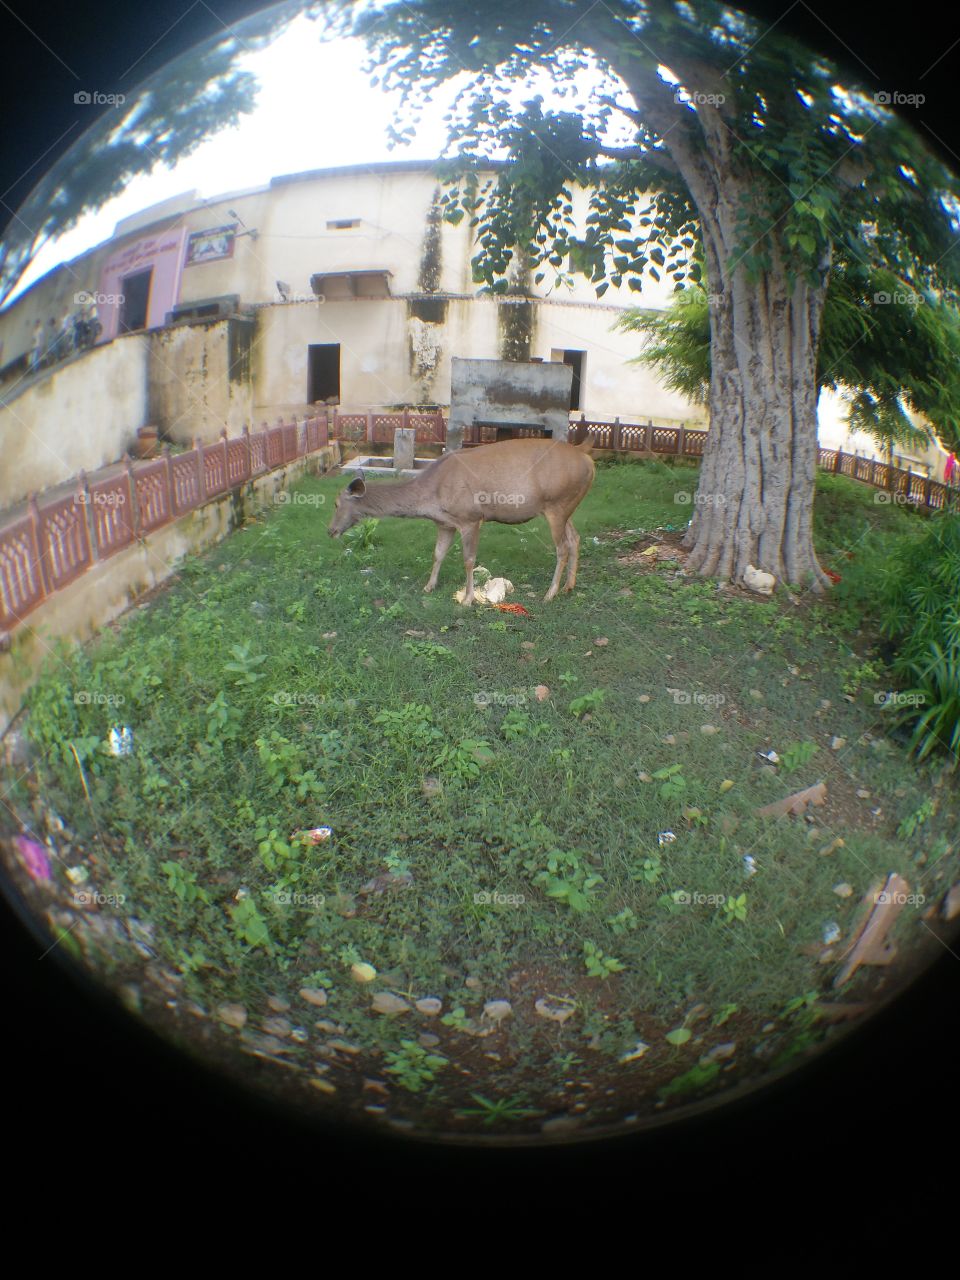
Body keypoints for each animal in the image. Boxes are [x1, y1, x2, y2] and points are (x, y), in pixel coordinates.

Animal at [327, 436, 595, 604]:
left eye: (337, 503)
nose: (330, 530)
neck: (431, 497)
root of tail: (586, 456)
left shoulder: (470, 517)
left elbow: (468, 560)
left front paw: (467, 599)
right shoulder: (445, 523)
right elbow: (437, 554)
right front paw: (429, 586)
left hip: (557, 503)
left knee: (562, 547)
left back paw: (550, 594)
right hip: (566, 506)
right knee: (575, 538)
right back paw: (569, 586)